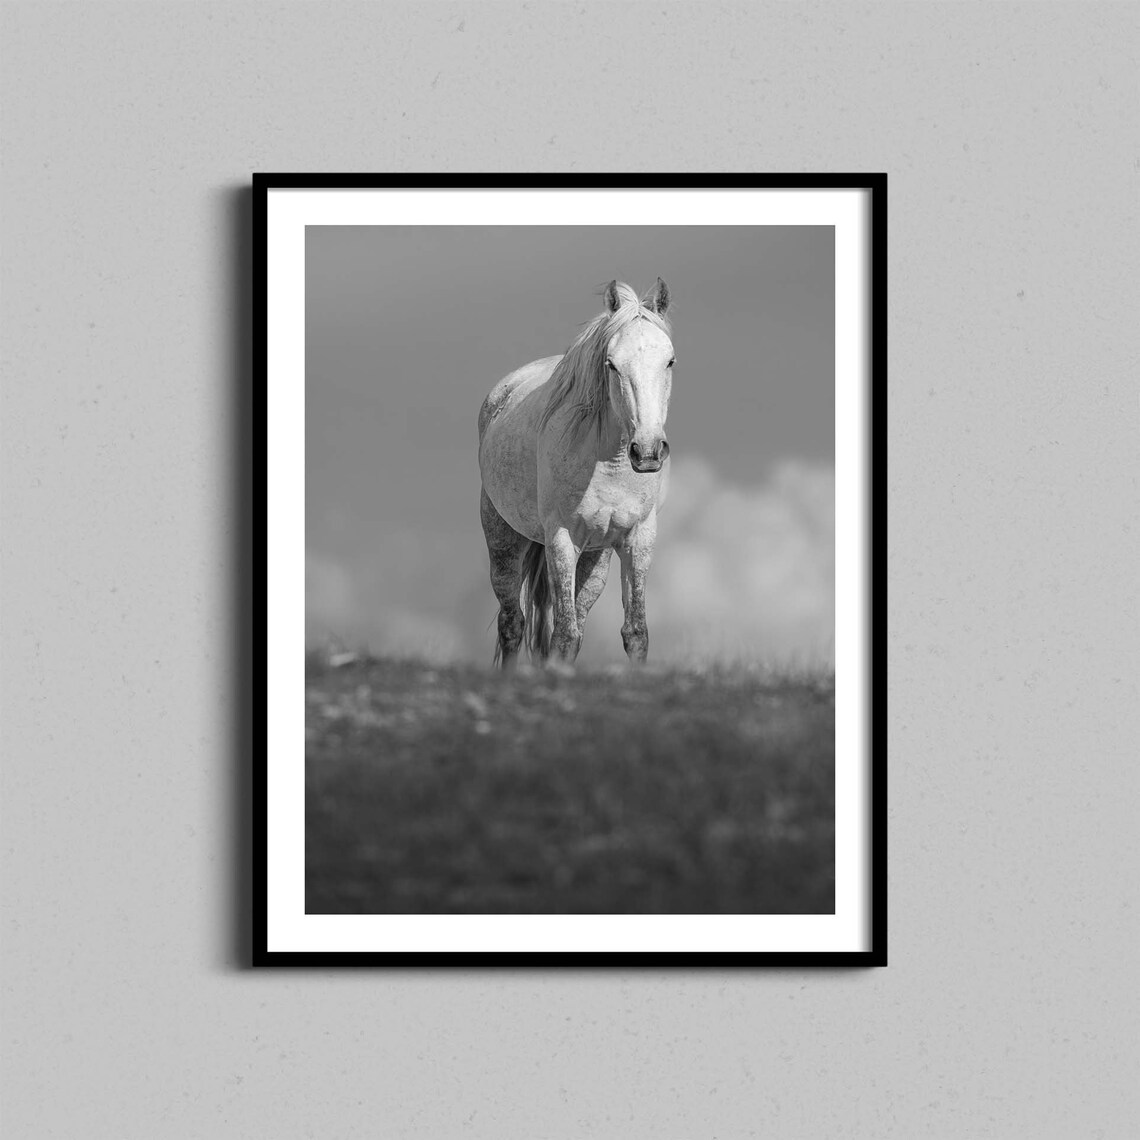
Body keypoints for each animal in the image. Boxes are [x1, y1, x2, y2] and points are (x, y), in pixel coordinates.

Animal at [477, 278, 674, 667]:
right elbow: (564, 635)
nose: (647, 452)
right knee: (512, 623)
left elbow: (635, 632)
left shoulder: (638, 539)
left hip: (595, 557)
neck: (609, 460)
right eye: (611, 364)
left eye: (670, 361)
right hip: (504, 540)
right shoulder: (561, 538)